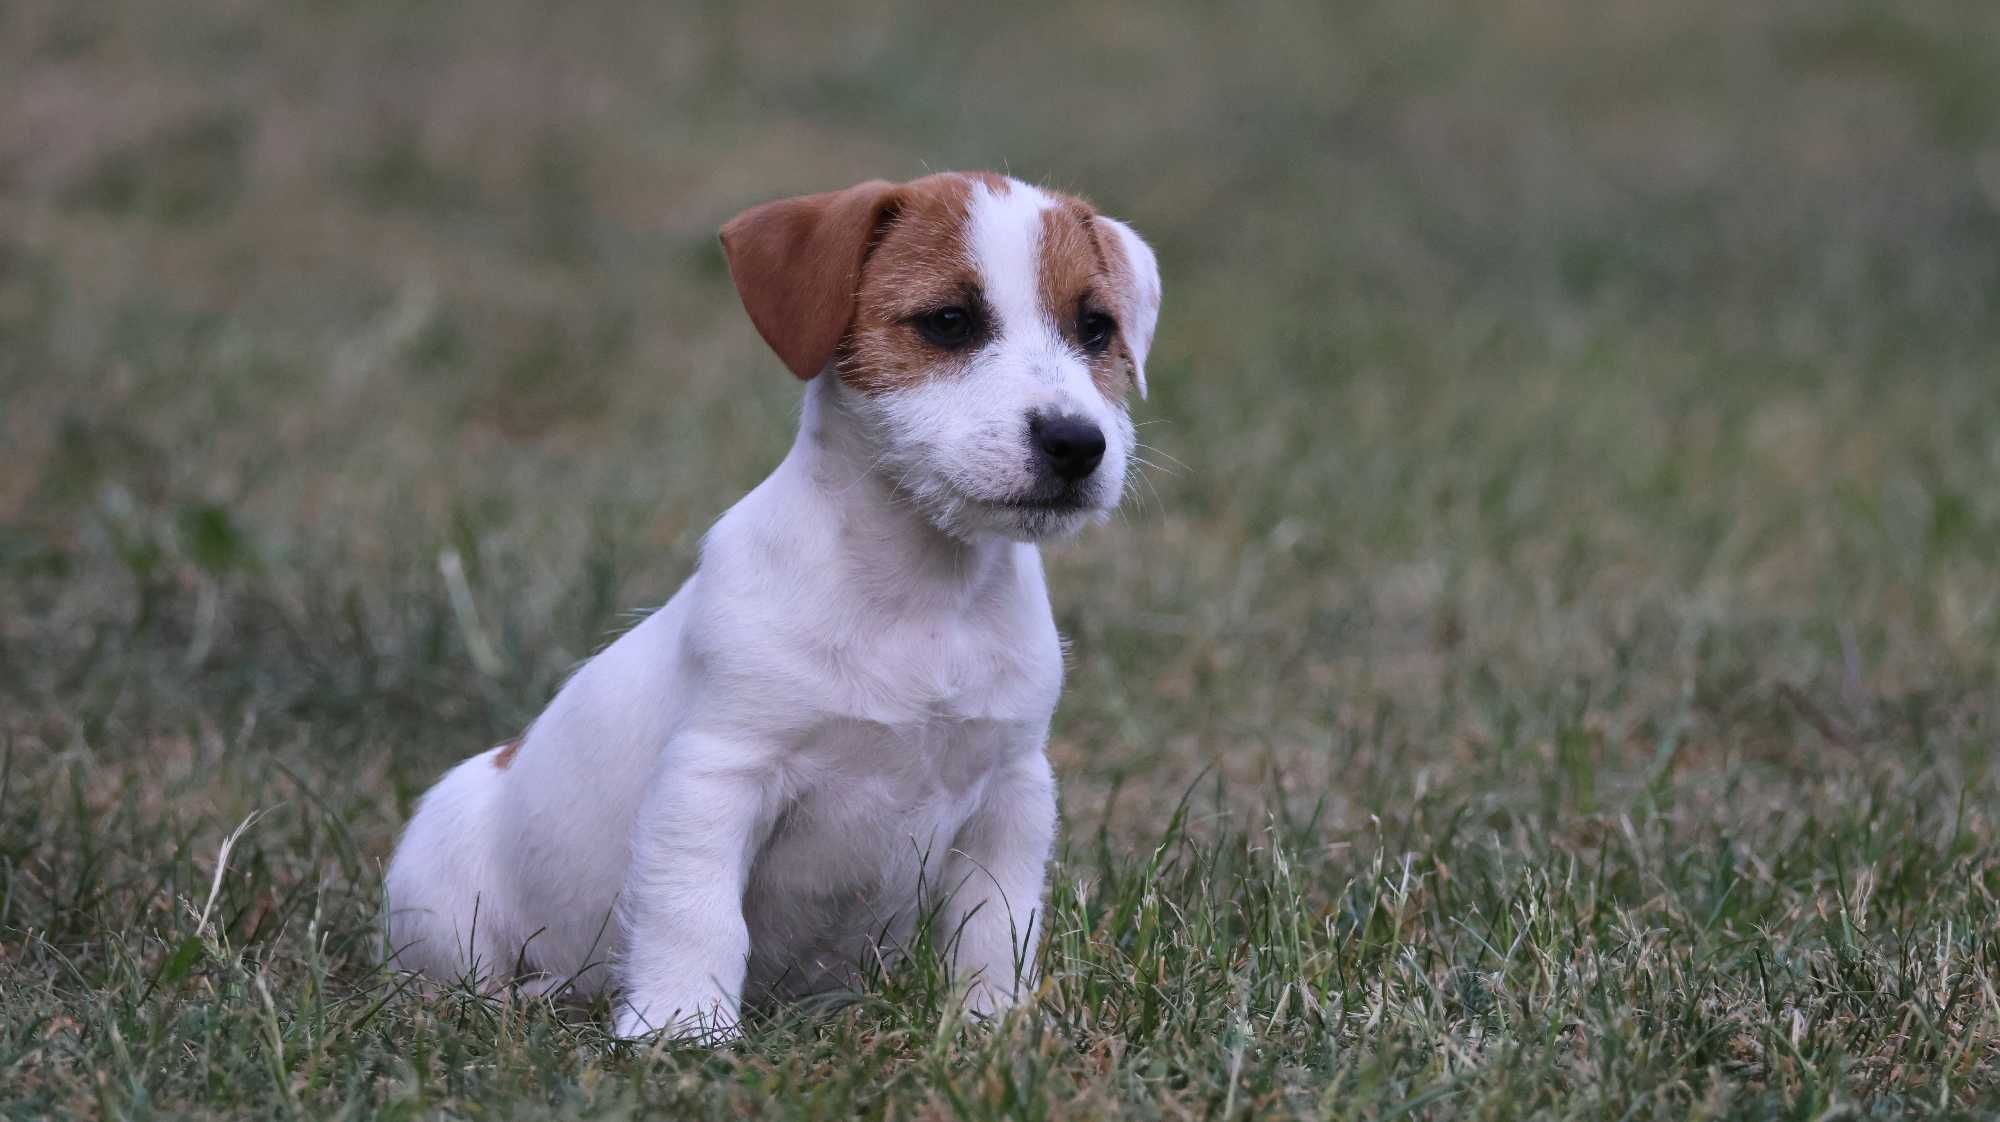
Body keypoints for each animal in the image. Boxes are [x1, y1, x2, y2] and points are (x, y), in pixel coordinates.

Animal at [384, 171, 1168, 1040]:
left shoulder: (1011, 795)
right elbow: (697, 916)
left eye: (1095, 329)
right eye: (949, 322)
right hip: (443, 899)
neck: (922, 596)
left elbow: (997, 928)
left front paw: (991, 1028)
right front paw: (682, 1028)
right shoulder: (715, 779)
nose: (1077, 443)